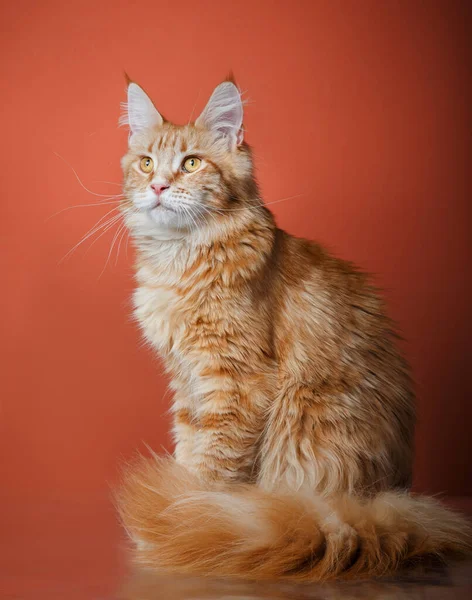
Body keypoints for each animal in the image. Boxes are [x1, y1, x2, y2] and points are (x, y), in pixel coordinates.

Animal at [115, 77, 472, 580]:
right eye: (146, 162)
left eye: (191, 163)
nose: (158, 185)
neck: (179, 259)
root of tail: (379, 501)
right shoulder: (188, 385)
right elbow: (190, 450)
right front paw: (173, 511)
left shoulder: (236, 382)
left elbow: (213, 466)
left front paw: (187, 518)